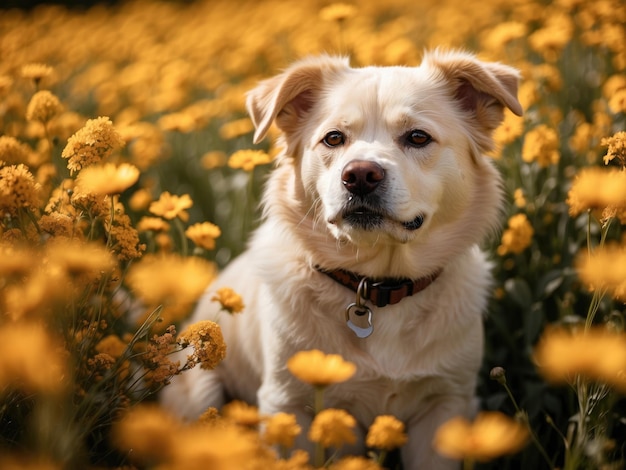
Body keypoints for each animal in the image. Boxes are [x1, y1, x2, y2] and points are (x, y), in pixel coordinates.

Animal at [161, 49, 520, 468]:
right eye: (333, 138)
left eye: (418, 137)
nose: (361, 174)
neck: (378, 286)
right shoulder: (288, 404)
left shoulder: (444, 403)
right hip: (198, 391)